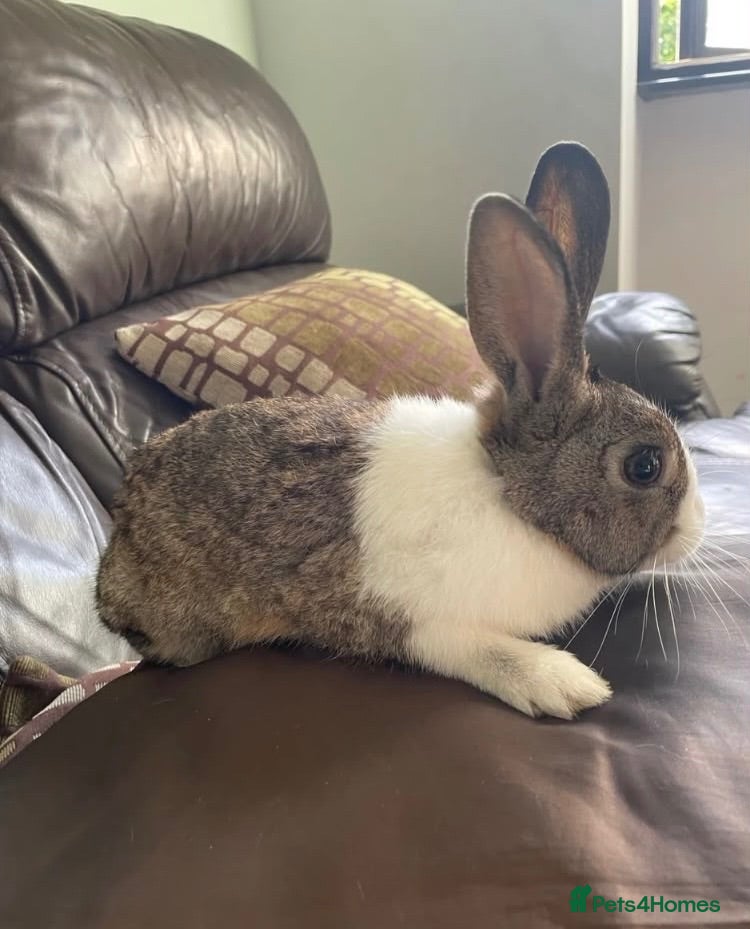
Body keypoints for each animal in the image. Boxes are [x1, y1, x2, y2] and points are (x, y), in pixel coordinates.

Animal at [97, 142, 705, 719]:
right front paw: (563, 684)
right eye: (644, 466)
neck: (512, 499)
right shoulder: (401, 616)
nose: (700, 526)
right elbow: (474, 649)